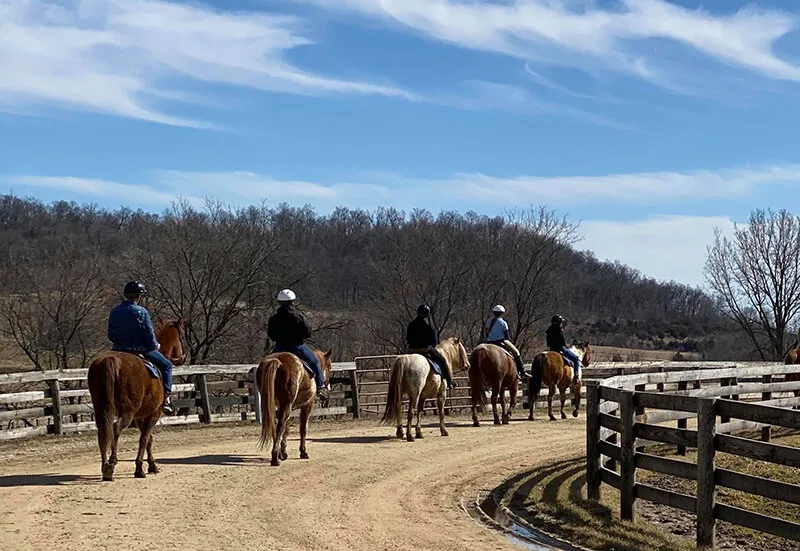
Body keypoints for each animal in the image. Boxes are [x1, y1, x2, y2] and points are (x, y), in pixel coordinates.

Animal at [86, 320, 186, 484]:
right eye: (181, 336)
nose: (183, 358)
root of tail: (110, 360)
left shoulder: (140, 416)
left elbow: (148, 439)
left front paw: (152, 465)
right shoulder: (154, 413)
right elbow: (144, 438)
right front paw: (140, 468)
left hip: (101, 409)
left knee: (103, 431)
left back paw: (105, 466)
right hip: (128, 411)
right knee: (116, 428)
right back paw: (111, 463)